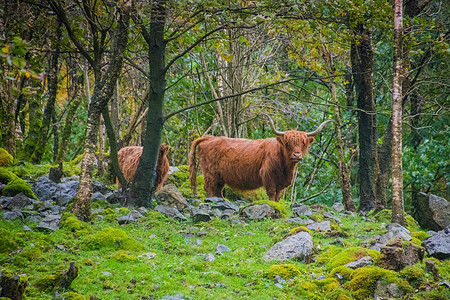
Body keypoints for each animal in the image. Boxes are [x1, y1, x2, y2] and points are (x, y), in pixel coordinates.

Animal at [188, 116, 332, 203]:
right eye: (287, 142)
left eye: (303, 142)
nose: (297, 155)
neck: (286, 168)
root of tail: (208, 138)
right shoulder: (267, 175)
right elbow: (272, 193)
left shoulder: (282, 182)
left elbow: (278, 195)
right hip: (210, 172)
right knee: (209, 188)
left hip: (220, 176)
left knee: (217, 190)